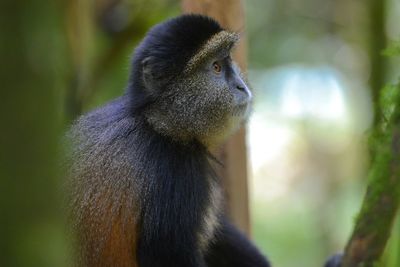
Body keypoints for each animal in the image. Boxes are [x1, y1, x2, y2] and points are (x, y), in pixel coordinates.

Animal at [66, 14, 340, 267]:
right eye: (216, 67)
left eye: (228, 60)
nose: (241, 86)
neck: (156, 122)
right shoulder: (174, 172)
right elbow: (169, 256)